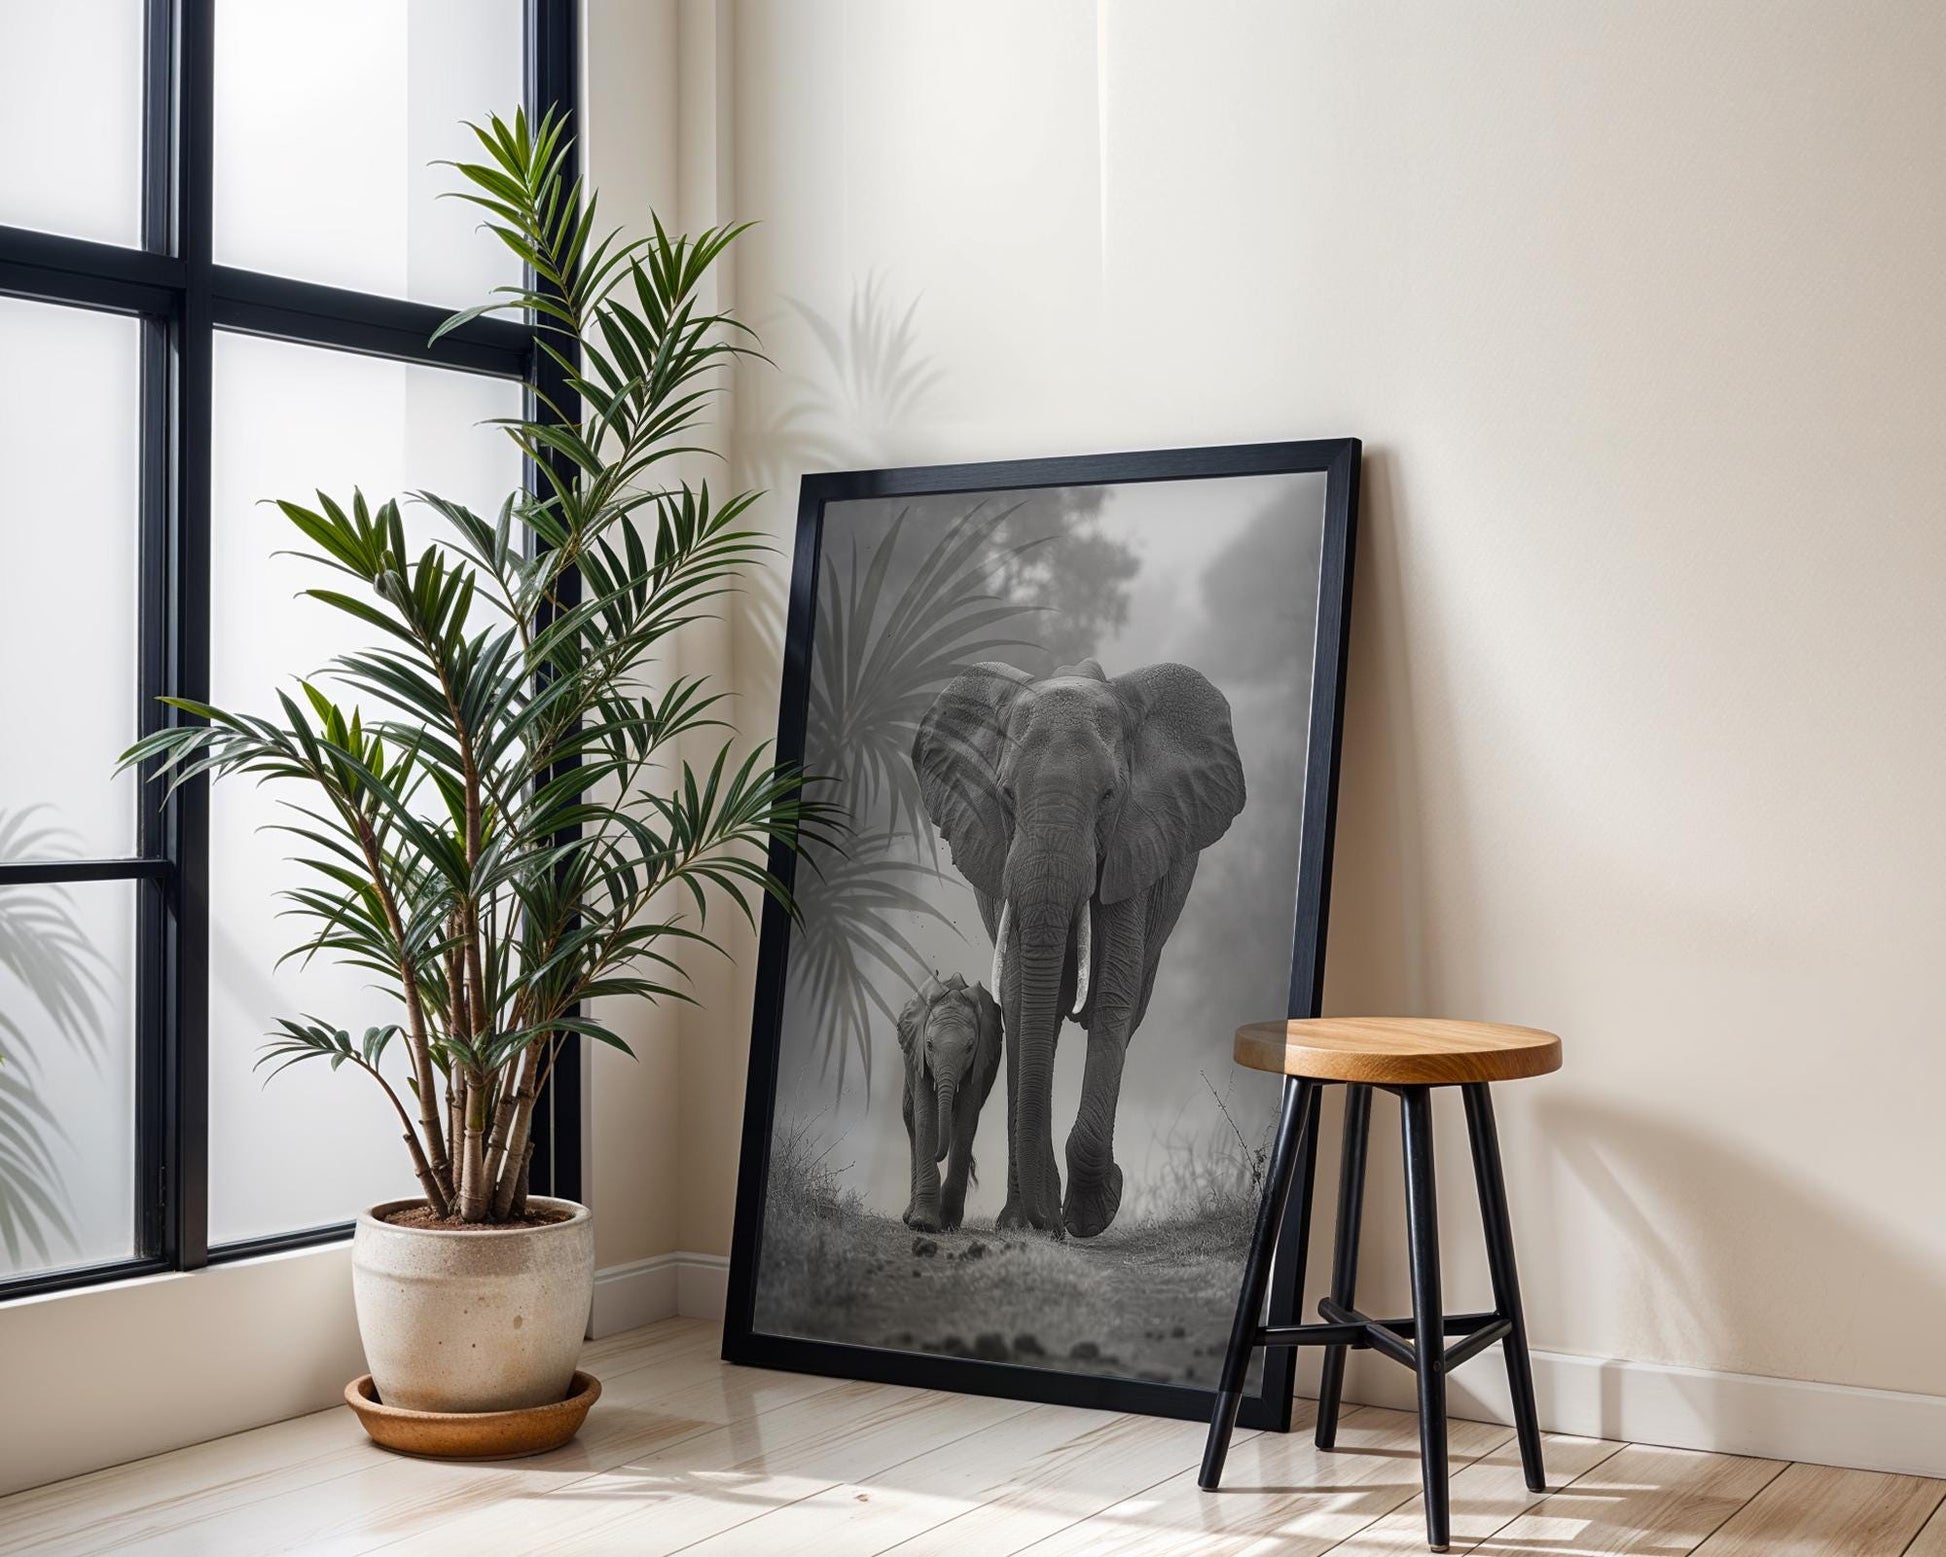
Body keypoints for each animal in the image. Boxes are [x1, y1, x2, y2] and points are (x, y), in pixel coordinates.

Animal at [897, 972, 1003, 1233]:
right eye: (929, 1045)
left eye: (969, 1048)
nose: (938, 1155)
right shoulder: (919, 1059)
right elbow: (925, 1117)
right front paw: (923, 1223)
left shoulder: (979, 1063)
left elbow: (965, 1121)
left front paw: (947, 1222)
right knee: (910, 1119)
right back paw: (910, 1216)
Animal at [912, 657, 1245, 1239]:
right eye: (1005, 796)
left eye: (1109, 796)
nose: (1050, 1222)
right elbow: (1021, 1002)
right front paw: (1028, 1222)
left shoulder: (1134, 848)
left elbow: (1112, 999)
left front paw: (1093, 1211)